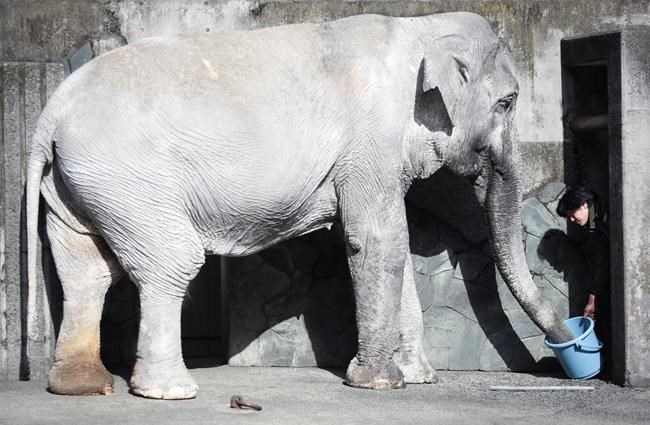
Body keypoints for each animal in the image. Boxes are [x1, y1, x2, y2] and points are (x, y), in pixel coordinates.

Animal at [26, 11, 574, 399]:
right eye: (507, 102)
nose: (567, 352)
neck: (420, 26)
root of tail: (50, 109)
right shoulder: (371, 137)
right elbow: (378, 239)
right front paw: (380, 382)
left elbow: (393, 244)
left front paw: (419, 378)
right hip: (128, 176)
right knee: (170, 262)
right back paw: (171, 391)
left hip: (81, 183)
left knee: (85, 271)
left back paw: (81, 387)